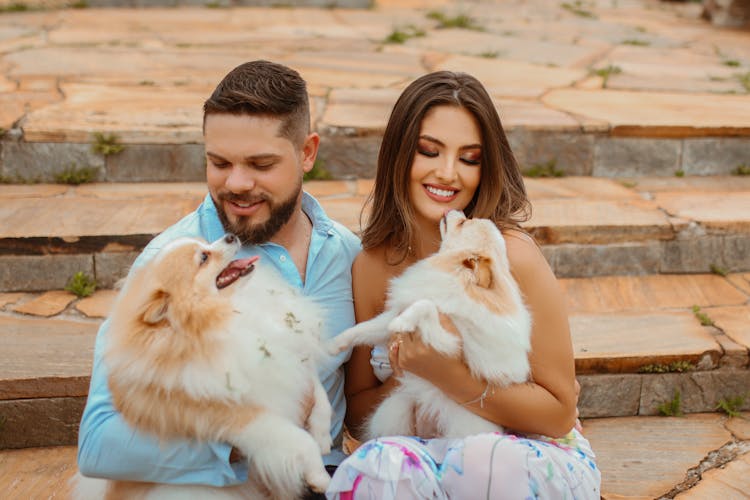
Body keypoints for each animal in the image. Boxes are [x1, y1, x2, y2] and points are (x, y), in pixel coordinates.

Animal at [76, 232, 332, 498]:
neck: (228, 313)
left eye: (205, 244)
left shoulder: (290, 358)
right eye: (203, 258)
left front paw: (323, 435)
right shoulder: (244, 417)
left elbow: (319, 393)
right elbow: (300, 440)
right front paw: (321, 477)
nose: (229, 236)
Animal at [330, 211, 536, 442]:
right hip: (396, 408)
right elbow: (362, 329)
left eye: (462, 222)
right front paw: (334, 344)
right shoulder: (389, 319)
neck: (455, 277)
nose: (454, 211)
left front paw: (405, 321)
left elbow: (426, 305)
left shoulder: (447, 343)